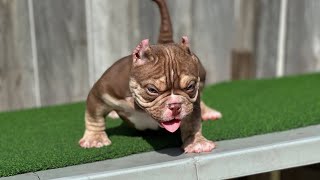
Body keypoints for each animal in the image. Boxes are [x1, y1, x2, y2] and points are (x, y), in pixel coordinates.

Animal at [79, 0, 221, 153]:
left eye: (190, 87)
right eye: (152, 90)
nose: (175, 105)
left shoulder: (192, 104)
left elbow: (192, 122)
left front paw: (196, 142)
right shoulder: (101, 93)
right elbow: (94, 116)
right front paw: (95, 139)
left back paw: (208, 113)